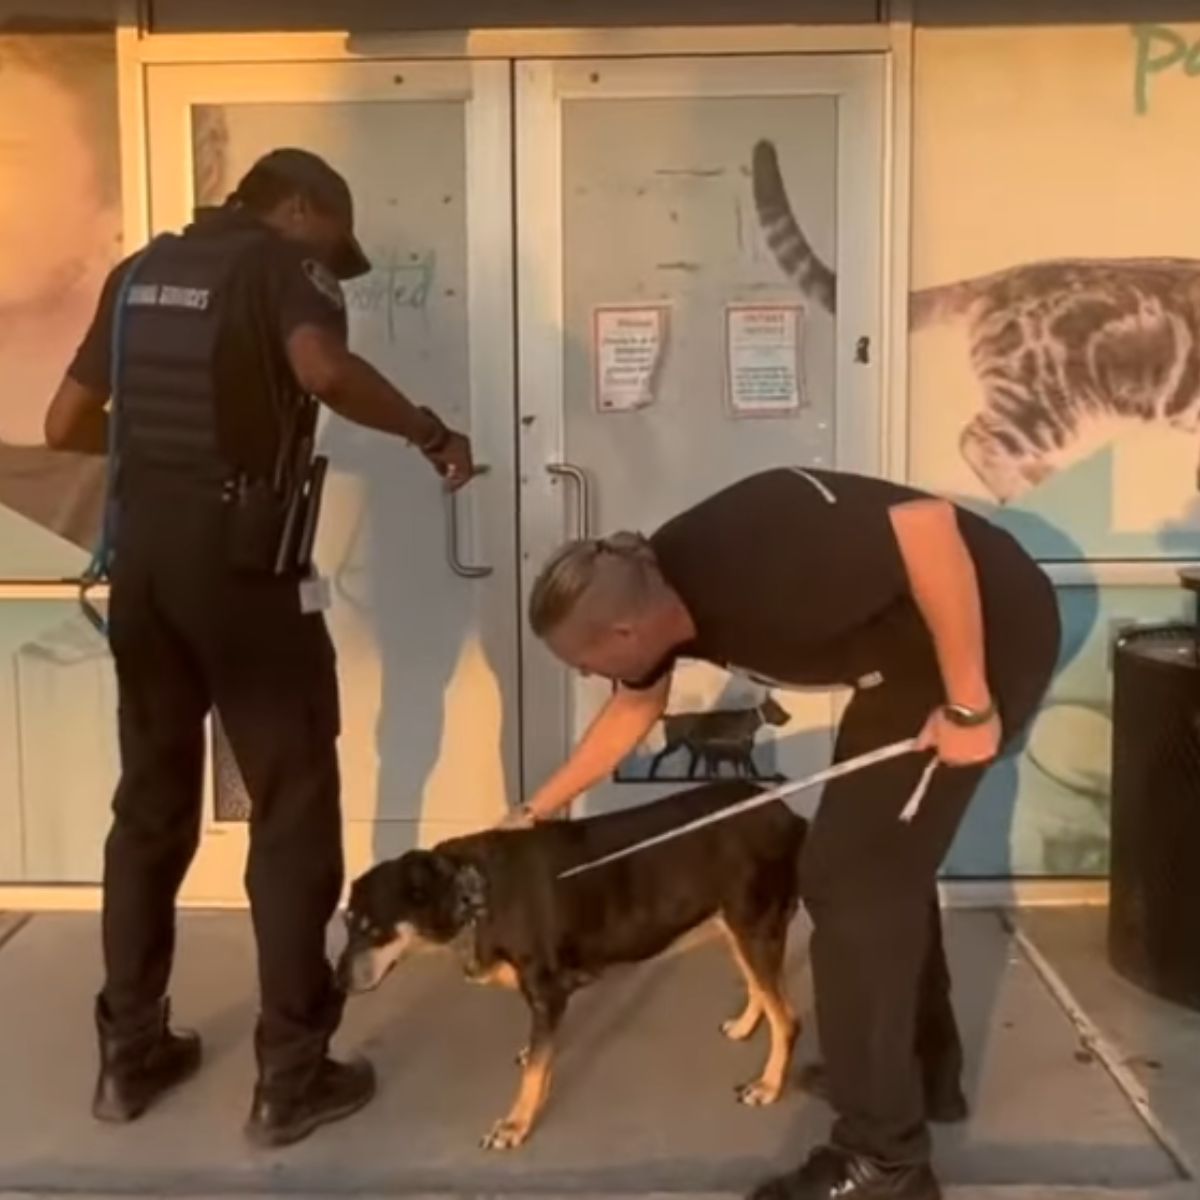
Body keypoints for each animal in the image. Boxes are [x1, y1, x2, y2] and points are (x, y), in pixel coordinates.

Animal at [338, 777, 806, 1152]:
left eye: (370, 928)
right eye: (346, 921)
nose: (339, 983)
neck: (474, 895)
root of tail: (787, 814)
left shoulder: (547, 992)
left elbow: (534, 1075)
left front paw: (515, 1125)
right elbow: (540, 1056)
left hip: (754, 926)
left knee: (788, 1018)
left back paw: (768, 1085)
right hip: (736, 926)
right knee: (762, 989)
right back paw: (745, 1025)